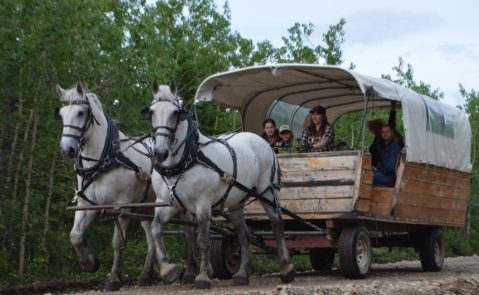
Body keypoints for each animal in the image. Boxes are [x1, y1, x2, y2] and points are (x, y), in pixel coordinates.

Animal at [55, 83, 197, 292]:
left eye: (81, 112)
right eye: (61, 114)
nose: (67, 149)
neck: (104, 159)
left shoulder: (121, 206)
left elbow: (117, 243)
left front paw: (114, 278)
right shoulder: (86, 205)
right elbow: (75, 236)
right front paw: (90, 263)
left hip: (179, 204)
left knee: (188, 232)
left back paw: (190, 272)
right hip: (146, 208)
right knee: (151, 238)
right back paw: (145, 276)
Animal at [142, 81, 296, 290]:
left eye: (175, 113)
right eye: (151, 112)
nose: (160, 152)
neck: (185, 159)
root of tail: (262, 141)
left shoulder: (202, 205)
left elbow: (203, 240)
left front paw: (202, 277)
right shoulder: (167, 203)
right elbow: (156, 229)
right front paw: (168, 270)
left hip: (267, 193)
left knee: (277, 224)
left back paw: (286, 269)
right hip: (236, 201)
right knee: (243, 233)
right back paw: (242, 274)